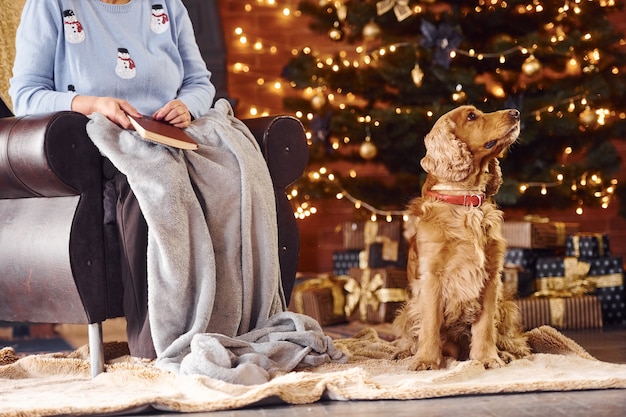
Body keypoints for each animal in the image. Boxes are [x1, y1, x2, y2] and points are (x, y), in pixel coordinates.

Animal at [392, 105, 528, 368]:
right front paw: (426, 360)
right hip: (407, 310)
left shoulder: (490, 276)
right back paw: (405, 352)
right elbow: (430, 325)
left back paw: (507, 353)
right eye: (471, 116)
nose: (516, 112)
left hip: (505, 304)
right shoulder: (432, 276)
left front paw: (488, 358)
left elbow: (486, 327)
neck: (466, 202)